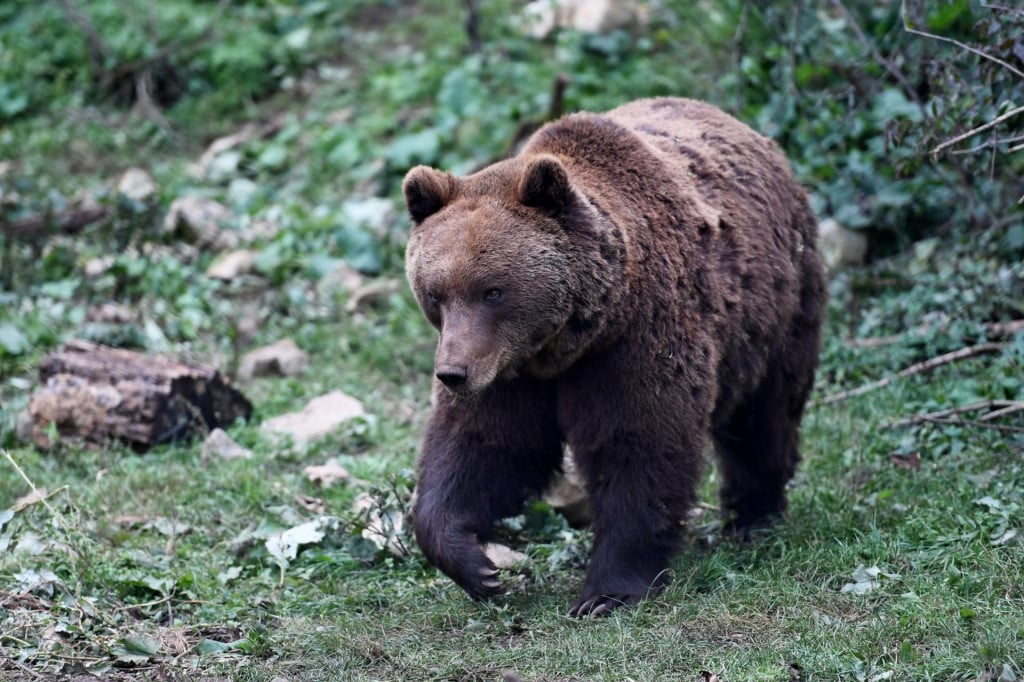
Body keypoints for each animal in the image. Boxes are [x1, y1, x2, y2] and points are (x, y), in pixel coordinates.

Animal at [403, 96, 827, 614]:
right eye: (435, 294)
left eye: (493, 291)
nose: (452, 374)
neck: (565, 344)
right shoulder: (509, 372)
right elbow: (483, 447)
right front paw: (476, 565)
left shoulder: (634, 341)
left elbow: (638, 444)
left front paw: (607, 591)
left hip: (777, 313)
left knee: (763, 418)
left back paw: (753, 517)